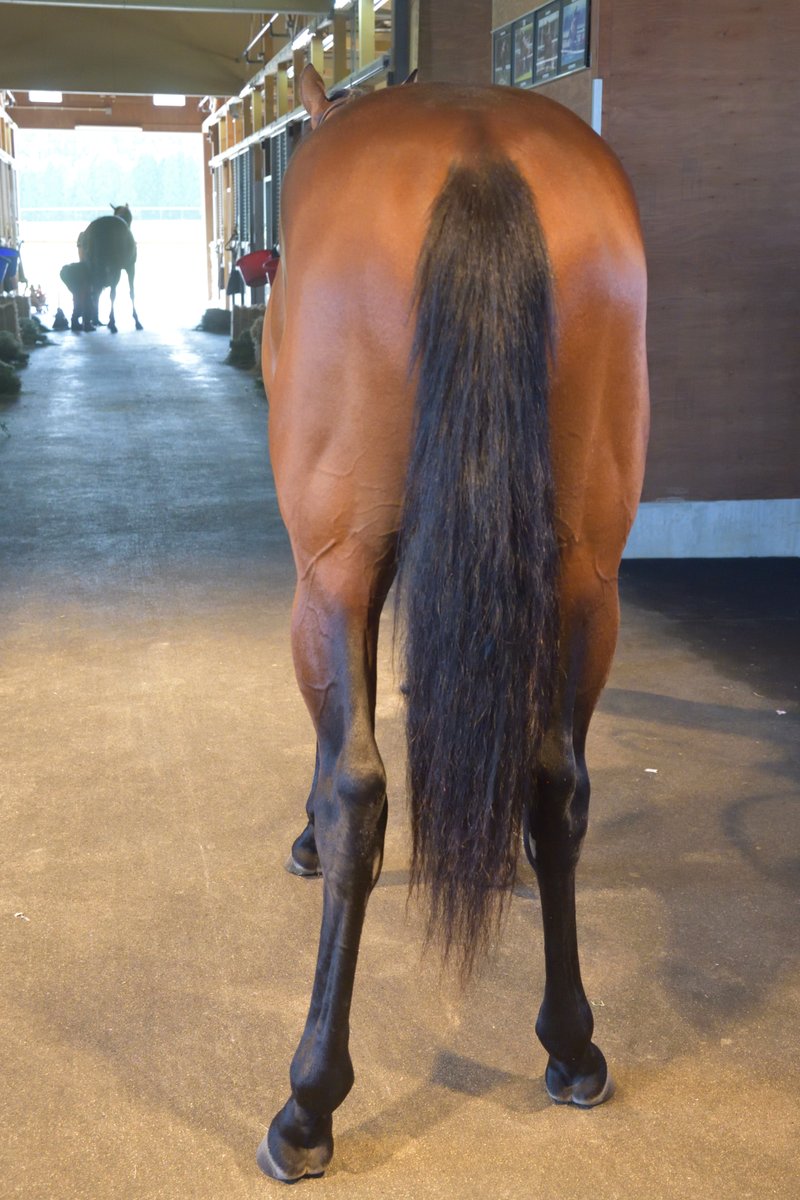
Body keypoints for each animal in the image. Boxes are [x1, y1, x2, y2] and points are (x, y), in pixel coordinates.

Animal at [78, 203, 143, 333]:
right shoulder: (130, 266)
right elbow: (131, 292)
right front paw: (136, 320)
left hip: (90, 266)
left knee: (91, 290)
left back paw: (90, 322)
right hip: (114, 269)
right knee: (110, 293)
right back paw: (111, 322)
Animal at [257, 65, 649, 1183]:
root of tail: (477, 150)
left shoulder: (333, 571)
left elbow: (337, 756)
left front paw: (305, 836)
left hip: (335, 570)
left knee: (357, 787)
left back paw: (308, 1104)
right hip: (585, 577)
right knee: (558, 785)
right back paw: (572, 1047)